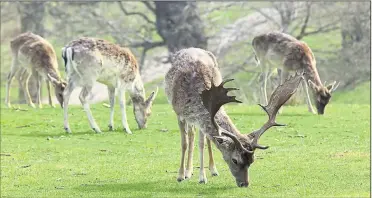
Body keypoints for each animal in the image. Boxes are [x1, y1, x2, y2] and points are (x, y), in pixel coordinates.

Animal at [164, 47, 304, 187]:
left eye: (252, 160)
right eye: (235, 160)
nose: (245, 184)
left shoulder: (200, 119)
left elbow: (202, 143)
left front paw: (202, 177)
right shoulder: (179, 113)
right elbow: (184, 143)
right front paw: (182, 175)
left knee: (203, 138)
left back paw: (211, 169)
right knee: (191, 135)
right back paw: (188, 172)